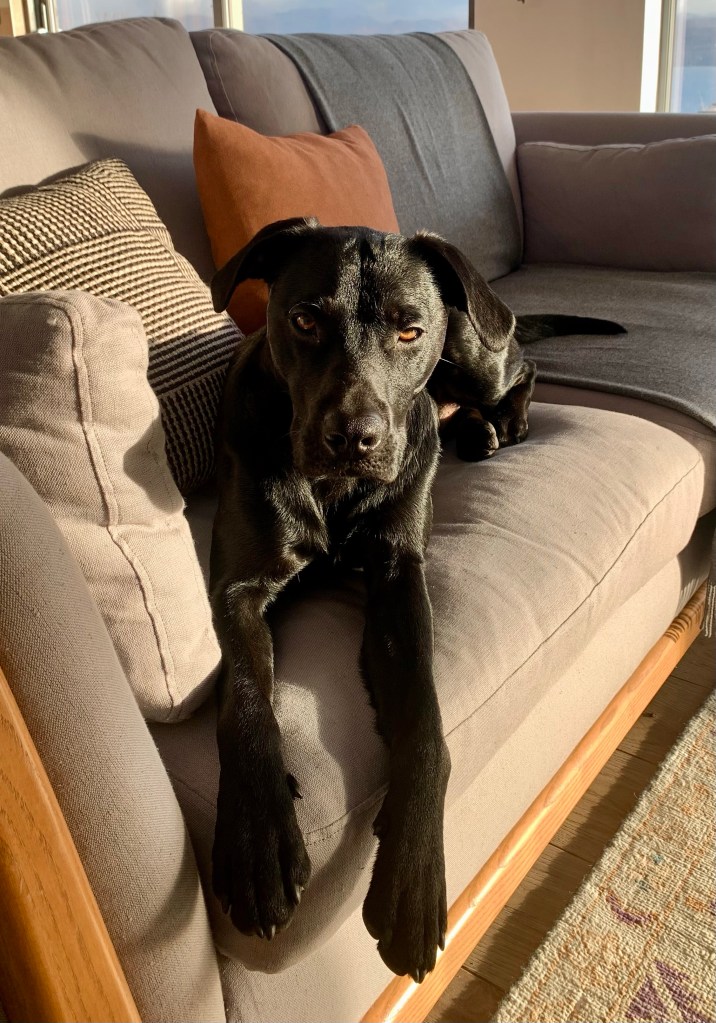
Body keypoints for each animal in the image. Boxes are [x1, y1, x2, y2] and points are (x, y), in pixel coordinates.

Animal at [208, 217, 624, 982]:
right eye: (304, 319)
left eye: (409, 329)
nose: (355, 438)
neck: (336, 488)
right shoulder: (238, 588)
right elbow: (246, 700)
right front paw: (257, 841)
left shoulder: (400, 578)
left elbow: (428, 726)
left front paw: (414, 877)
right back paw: (476, 429)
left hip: (477, 350)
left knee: (520, 369)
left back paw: (504, 420)